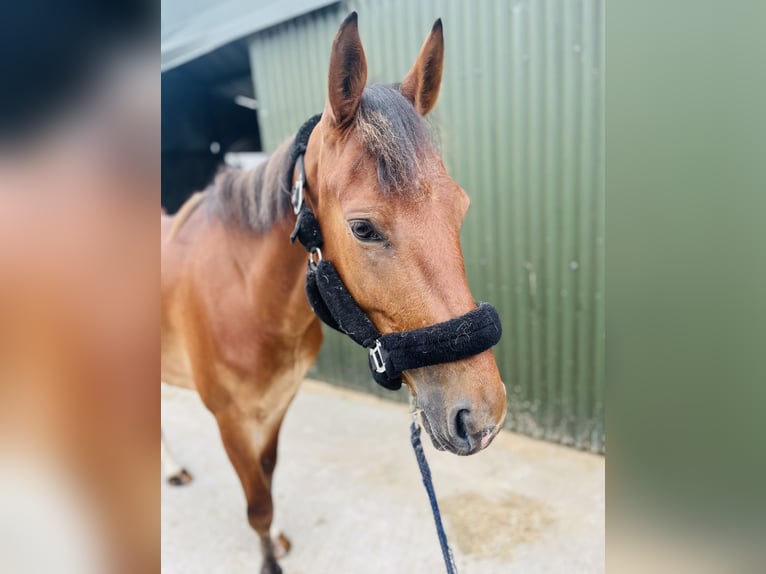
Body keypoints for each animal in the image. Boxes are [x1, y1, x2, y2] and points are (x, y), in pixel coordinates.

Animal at [161, 13, 507, 574]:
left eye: (461, 206)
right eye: (362, 228)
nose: (482, 418)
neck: (243, 295)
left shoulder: (276, 406)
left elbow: (269, 479)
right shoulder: (231, 421)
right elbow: (257, 504)